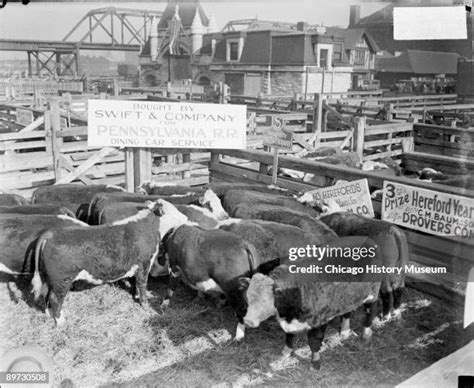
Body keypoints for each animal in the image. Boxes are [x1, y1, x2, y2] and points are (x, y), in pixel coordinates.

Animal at [29, 200, 188, 324]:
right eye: (173, 210)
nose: (186, 217)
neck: (148, 227)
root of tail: (51, 234)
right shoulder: (144, 264)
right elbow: (142, 285)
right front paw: (144, 304)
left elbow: (134, 283)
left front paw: (136, 296)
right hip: (62, 280)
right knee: (55, 299)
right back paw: (61, 321)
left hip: (50, 279)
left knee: (45, 295)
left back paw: (49, 314)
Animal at [239, 236, 384, 370]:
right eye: (248, 297)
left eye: (265, 300)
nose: (248, 320)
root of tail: (368, 239)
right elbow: (289, 336)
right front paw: (286, 352)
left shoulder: (319, 321)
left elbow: (314, 343)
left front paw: (315, 363)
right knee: (347, 311)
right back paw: (344, 331)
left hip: (372, 293)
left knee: (370, 311)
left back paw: (366, 333)